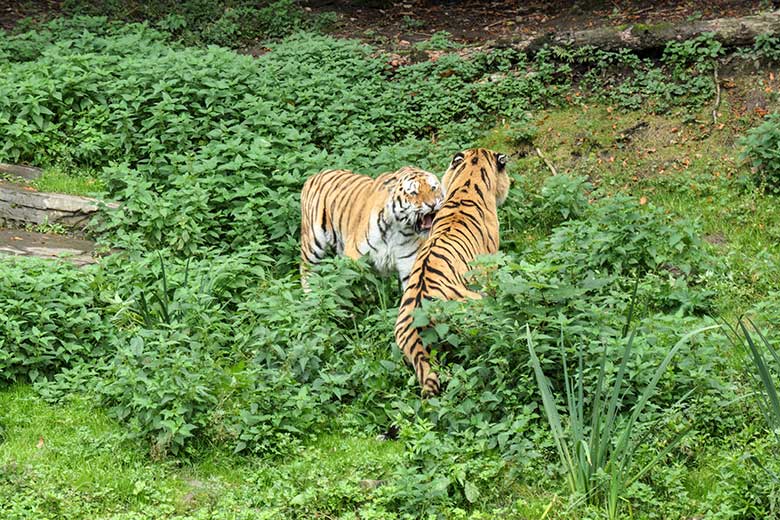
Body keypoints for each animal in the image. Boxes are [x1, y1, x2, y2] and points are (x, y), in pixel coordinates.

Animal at [300, 166, 444, 290]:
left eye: (433, 188)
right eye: (414, 193)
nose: (432, 204)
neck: (398, 230)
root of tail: (315, 175)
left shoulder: (409, 266)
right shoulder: (355, 259)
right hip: (313, 243)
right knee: (306, 269)